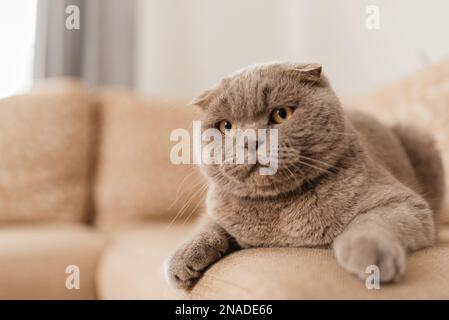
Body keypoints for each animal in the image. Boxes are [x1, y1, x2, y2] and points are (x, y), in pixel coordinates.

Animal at [165, 63, 444, 290]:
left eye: (281, 114)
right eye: (226, 126)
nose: (251, 141)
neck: (279, 208)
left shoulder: (403, 202)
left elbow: (371, 221)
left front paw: (371, 257)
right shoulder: (218, 206)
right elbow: (208, 225)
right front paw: (183, 258)